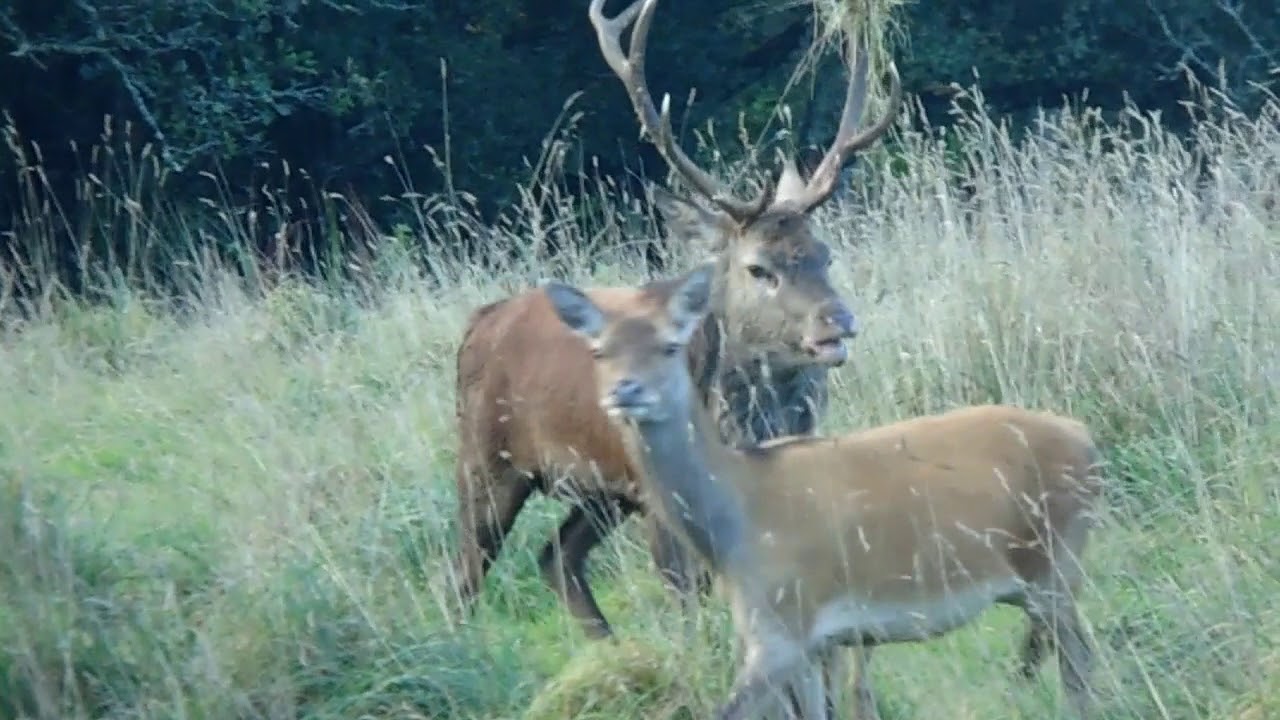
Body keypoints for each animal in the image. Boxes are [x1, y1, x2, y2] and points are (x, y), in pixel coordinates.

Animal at [449, 0, 903, 644]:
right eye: (758, 268)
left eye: (824, 254)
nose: (836, 322)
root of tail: (482, 321)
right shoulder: (663, 501)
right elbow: (686, 595)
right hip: (487, 456)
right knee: (464, 573)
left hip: (604, 486)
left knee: (556, 554)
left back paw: (607, 646)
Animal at [543, 263, 1106, 720]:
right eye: (599, 350)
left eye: (669, 345)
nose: (625, 391)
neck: (735, 531)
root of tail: (1086, 440)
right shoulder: (809, 642)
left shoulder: (782, 625)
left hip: (1056, 564)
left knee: (1081, 663)